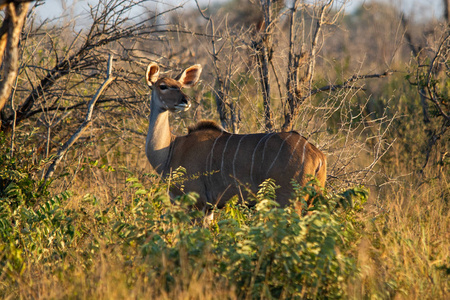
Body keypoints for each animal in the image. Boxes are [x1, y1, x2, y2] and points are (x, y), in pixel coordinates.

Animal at [146, 62, 326, 214]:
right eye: (163, 86)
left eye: (180, 86)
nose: (185, 101)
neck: (171, 148)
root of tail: (317, 155)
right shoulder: (209, 208)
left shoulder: (196, 203)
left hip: (289, 201)